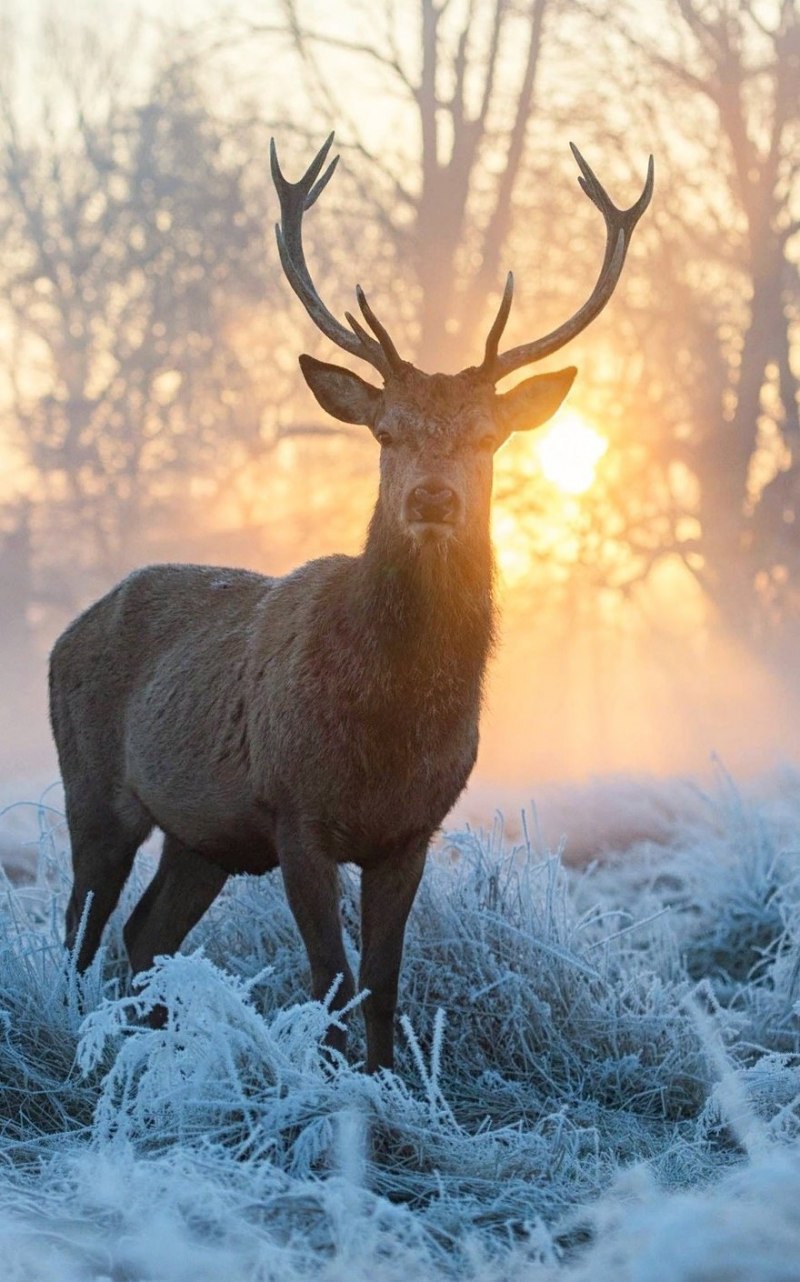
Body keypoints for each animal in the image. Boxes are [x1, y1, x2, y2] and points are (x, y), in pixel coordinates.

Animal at [49, 134, 653, 1072]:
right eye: (386, 430)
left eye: (487, 434)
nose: (433, 498)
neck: (392, 720)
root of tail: (63, 635)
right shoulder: (296, 813)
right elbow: (330, 980)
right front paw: (337, 1088)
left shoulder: (411, 831)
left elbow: (382, 981)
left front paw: (383, 1081)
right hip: (94, 785)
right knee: (80, 928)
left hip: (202, 838)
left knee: (144, 936)